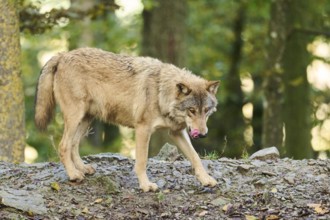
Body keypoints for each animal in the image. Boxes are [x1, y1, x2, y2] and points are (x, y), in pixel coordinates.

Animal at [34, 47, 219, 192]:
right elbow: (142, 161)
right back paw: (73, 175)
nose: (203, 134)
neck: (160, 91)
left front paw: (207, 180)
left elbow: (195, 157)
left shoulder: (177, 132)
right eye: (192, 110)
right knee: (64, 145)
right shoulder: (143, 129)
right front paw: (146, 185)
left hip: (86, 119)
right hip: (76, 117)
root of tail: (62, 54)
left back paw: (83, 169)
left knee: (73, 144)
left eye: (206, 111)